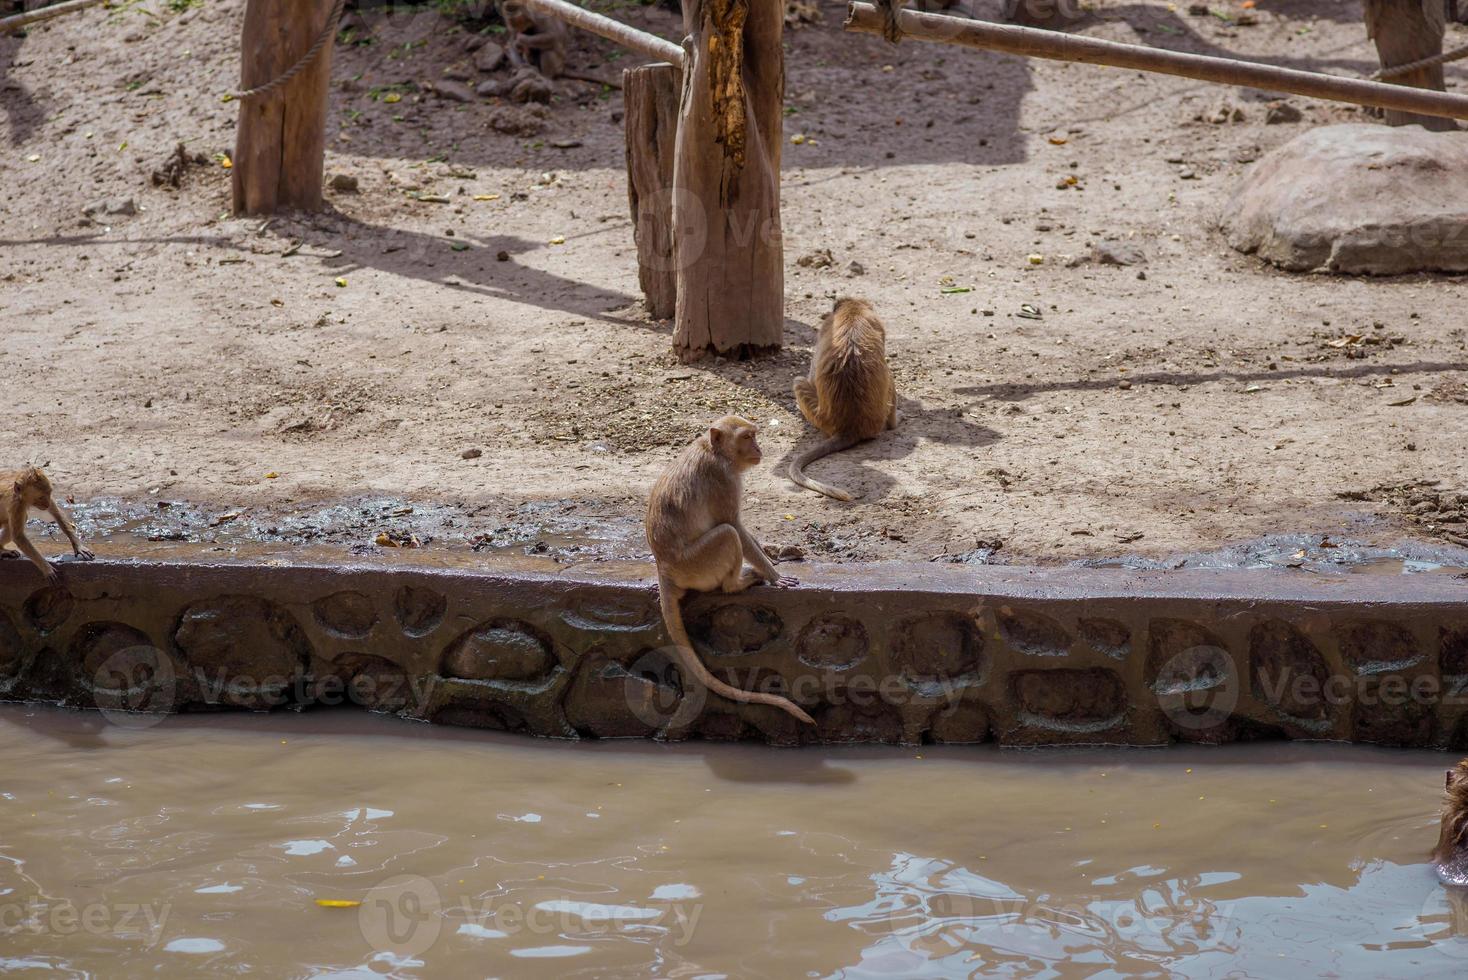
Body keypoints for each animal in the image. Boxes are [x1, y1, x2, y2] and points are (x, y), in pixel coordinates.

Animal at [651, 416, 822, 724]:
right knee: (727, 534)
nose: (758, 447)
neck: (714, 451)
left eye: (754, 435)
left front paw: (773, 559)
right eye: (746, 437)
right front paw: (774, 576)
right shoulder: (722, 479)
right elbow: (734, 525)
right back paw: (738, 584)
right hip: (697, 565)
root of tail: (664, 570)